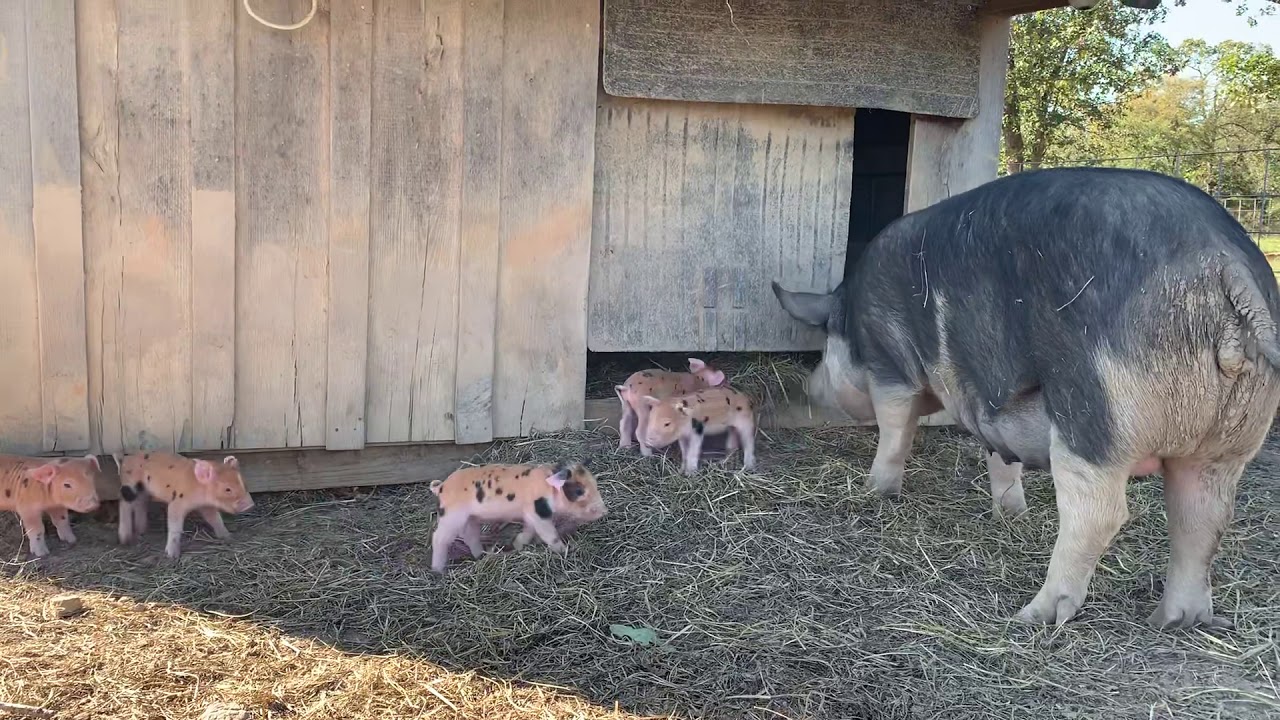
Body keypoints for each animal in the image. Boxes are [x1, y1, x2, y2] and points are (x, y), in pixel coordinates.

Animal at [113, 452, 255, 559]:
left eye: (243, 483)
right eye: (227, 489)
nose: (250, 504)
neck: (198, 488)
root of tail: (124, 459)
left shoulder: (206, 506)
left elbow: (215, 519)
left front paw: (228, 537)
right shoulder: (177, 502)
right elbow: (175, 526)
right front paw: (172, 556)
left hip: (143, 492)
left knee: (140, 504)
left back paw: (142, 530)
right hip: (129, 487)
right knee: (124, 504)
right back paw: (125, 540)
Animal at [428, 460, 608, 573]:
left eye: (595, 485)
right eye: (579, 491)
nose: (604, 510)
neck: (548, 490)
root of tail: (441, 487)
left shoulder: (530, 515)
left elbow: (528, 531)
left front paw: (518, 545)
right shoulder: (538, 512)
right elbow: (549, 534)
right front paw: (564, 551)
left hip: (470, 518)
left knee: (469, 535)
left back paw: (483, 555)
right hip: (451, 516)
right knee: (438, 538)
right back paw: (438, 571)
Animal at [772, 166, 1280, 630]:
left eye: (825, 346)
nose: (809, 385)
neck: (854, 316)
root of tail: (1223, 264)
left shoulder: (890, 365)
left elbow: (895, 435)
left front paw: (875, 491)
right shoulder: (993, 407)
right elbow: (1000, 458)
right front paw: (1011, 513)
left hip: (1095, 413)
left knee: (1099, 514)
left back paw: (1032, 617)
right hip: (1230, 440)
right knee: (1203, 517)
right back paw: (1173, 622)